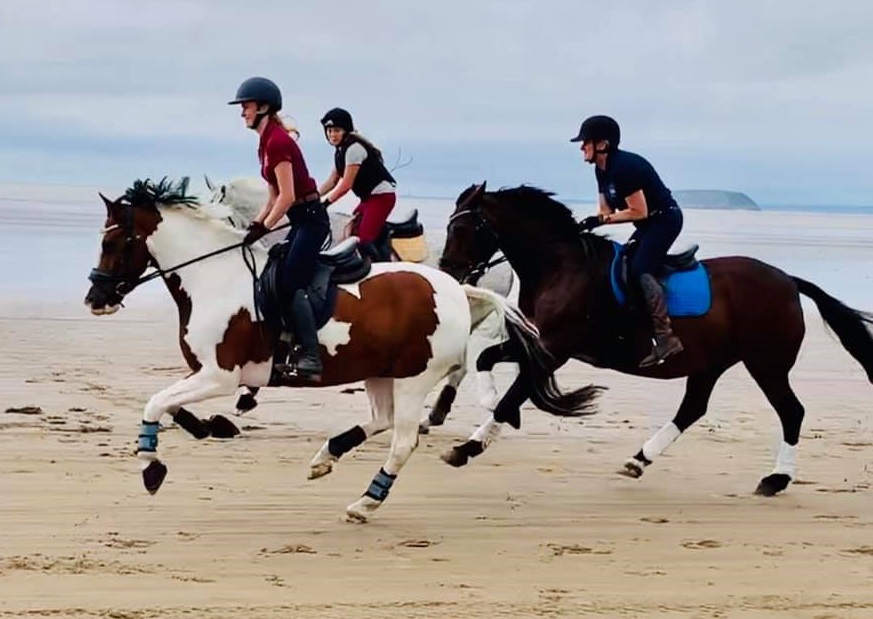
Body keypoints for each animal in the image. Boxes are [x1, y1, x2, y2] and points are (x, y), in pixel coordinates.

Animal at [83, 179, 600, 524]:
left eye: (115, 241)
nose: (95, 298)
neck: (215, 279)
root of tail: (456, 287)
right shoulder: (207, 374)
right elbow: (172, 407)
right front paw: (212, 427)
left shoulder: (220, 374)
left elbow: (156, 403)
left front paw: (152, 467)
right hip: (379, 371)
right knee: (382, 419)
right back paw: (326, 456)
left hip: (413, 378)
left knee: (403, 438)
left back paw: (367, 500)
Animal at [440, 182, 872, 496]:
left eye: (462, 228)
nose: (449, 273)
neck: (562, 269)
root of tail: (789, 281)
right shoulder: (535, 344)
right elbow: (487, 363)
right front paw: (485, 413)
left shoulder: (553, 350)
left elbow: (515, 394)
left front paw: (468, 446)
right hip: (711, 363)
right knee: (693, 408)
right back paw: (638, 460)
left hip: (766, 363)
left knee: (791, 411)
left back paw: (776, 479)